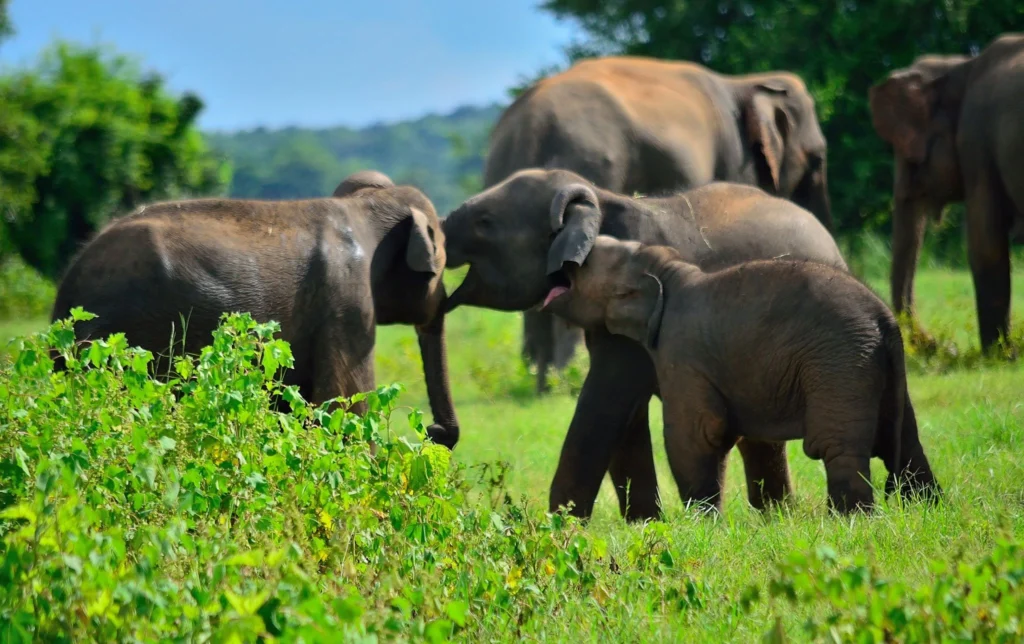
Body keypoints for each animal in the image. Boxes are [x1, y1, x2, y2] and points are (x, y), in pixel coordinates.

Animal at [443, 168, 847, 521]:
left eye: (485, 222)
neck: (595, 199)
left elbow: (607, 400)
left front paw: (560, 525)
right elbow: (628, 414)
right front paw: (645, 523)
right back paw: (776, 515)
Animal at [485, 55, 834, 393]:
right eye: (817, 157)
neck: (747, 82)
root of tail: (531, 124)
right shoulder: (735, 157)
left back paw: (542, 385)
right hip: (589, 158)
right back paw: (565, 383)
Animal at [542, 235, 941, 514]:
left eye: (586, 263)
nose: (562, 258)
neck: (670, 268)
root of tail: (885, 319)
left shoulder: (682, 353)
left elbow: (695, 435)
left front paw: (703, 523)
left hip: (840, 365)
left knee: (837, 446)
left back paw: (850, 520)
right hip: (877, 369)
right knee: (905, 442)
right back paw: (926, 509)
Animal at [869, 33, 1024, 352]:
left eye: (911, 159)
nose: (940, 344)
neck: (960, 64)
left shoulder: (976, 140)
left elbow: (985, 243)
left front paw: (999, 355)